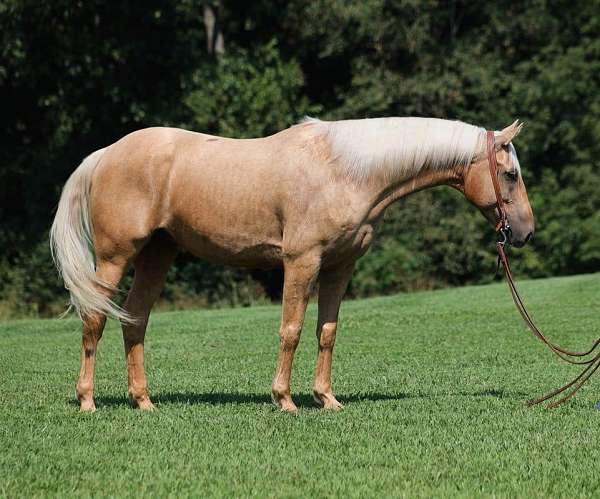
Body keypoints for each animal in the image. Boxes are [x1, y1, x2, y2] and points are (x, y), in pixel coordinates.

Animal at [49, 117, 532, 414]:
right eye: (510, 174)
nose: (525, 232)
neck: (344, 170)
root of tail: (106, 153)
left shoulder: (340, 266)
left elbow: (327, 331)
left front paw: (327, 399)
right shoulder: (301, 261)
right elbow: (292, 329)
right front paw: (284, 399)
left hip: (157, 254)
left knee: (135, 319)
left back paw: (143, 402)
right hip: (115, 258)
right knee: (95, 320)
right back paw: (88, 401)